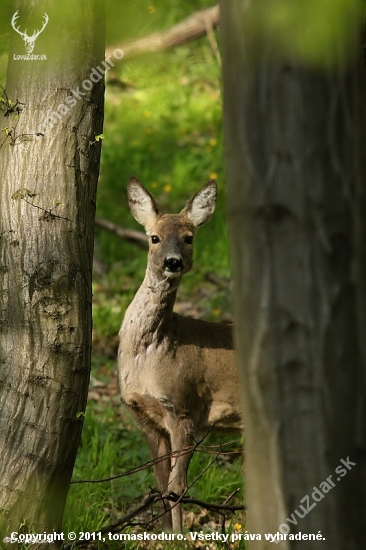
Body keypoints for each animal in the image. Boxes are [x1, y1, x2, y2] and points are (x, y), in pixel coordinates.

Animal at [117, 179, 242, 532]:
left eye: (189, 237)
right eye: (153, 237)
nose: (172, 262)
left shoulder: (184, 408)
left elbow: (176, 487)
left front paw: (179, 536)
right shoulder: (144, 416)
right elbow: (160, 483)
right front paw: (164, 533)